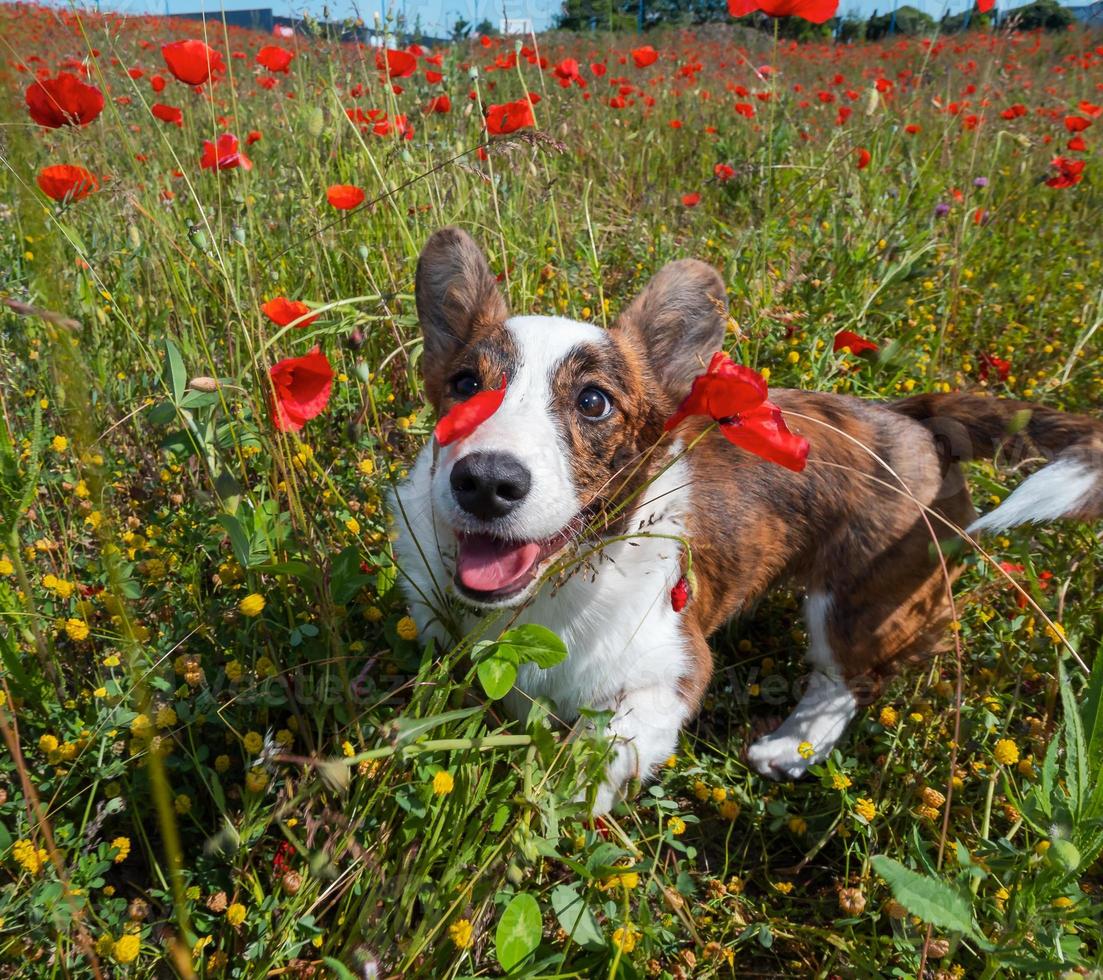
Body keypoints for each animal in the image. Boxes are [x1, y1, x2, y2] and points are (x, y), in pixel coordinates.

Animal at [390, 226, 1103, 816]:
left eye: (593, 402)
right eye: (464, 385)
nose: (486, 483)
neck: (557, 587)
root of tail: (916, 419)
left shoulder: (671, 673)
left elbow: (596, 753)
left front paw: (556, 799)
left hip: (858, 603)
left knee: (847, 681)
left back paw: (787, 749)